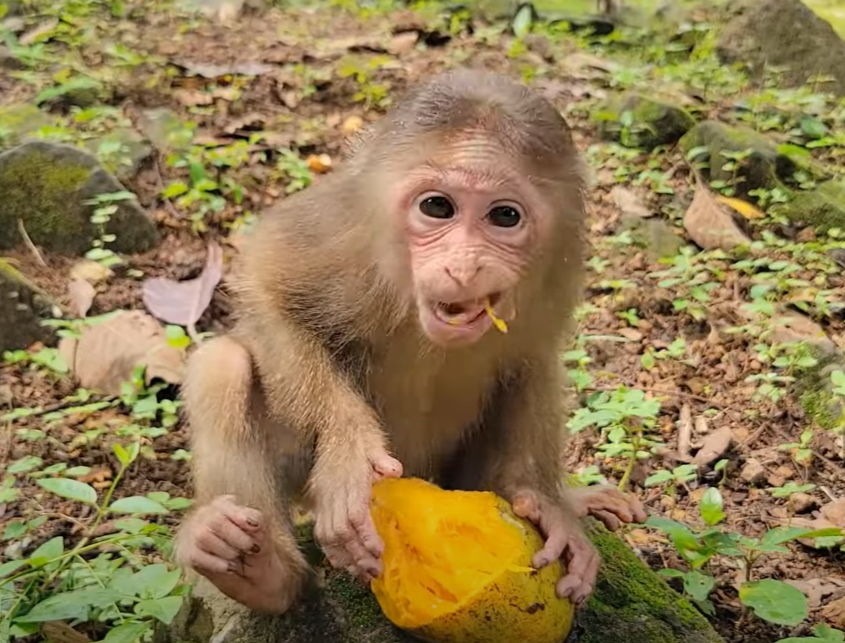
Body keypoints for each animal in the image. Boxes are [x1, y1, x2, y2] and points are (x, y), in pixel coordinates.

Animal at [174, 68, 647, 616]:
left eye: (504, 216)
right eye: (437, 207)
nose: (464, 265)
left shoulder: (555, 275)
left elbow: (532, 363)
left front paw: (544, 501)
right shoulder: (347, 229)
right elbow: (268, 286)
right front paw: (349, 453)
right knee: (222, 364)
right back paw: (261, 574)